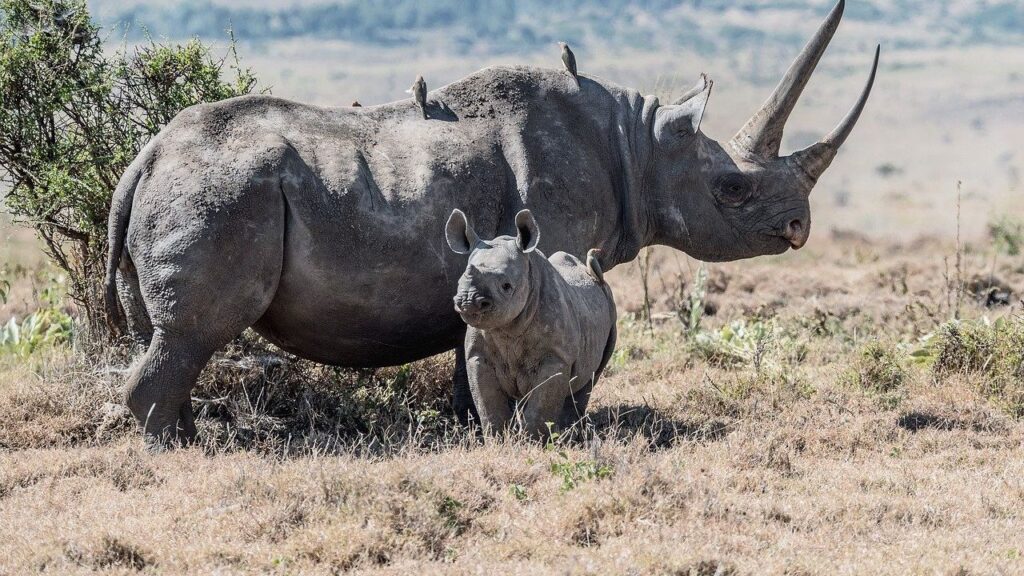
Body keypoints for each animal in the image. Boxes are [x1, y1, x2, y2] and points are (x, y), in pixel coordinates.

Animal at [446, 209, 616, 437]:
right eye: (459, 282)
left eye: (506, 286)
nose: (468, 301)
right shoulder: (478, 355)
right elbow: (488, 404)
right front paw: (498, 438)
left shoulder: (556, 357)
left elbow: (540, 406)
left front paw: (533, 440)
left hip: (610, 310)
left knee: (589, 379)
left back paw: (568, 433)